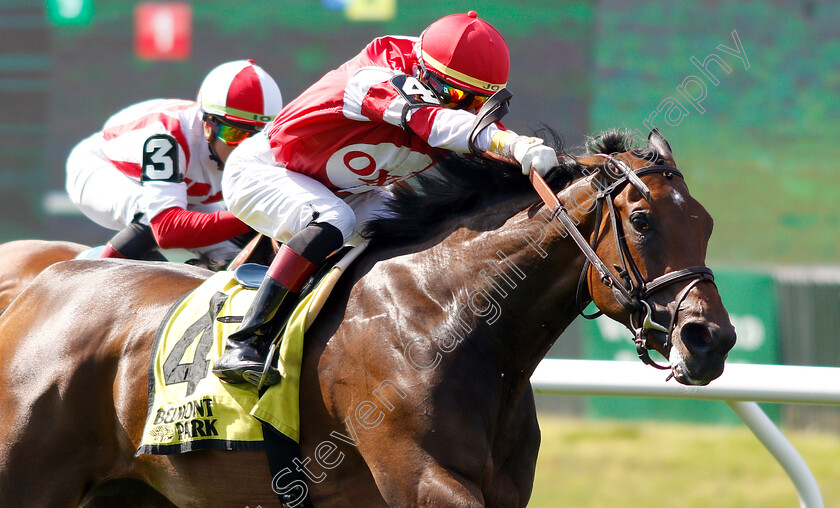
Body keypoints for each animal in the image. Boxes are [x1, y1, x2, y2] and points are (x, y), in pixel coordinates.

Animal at [0, 129, 736, 506]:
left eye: (706, 222)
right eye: (642, 220)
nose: (711, 339)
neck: (450, 318)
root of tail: (44, 284)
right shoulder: (419, 481)